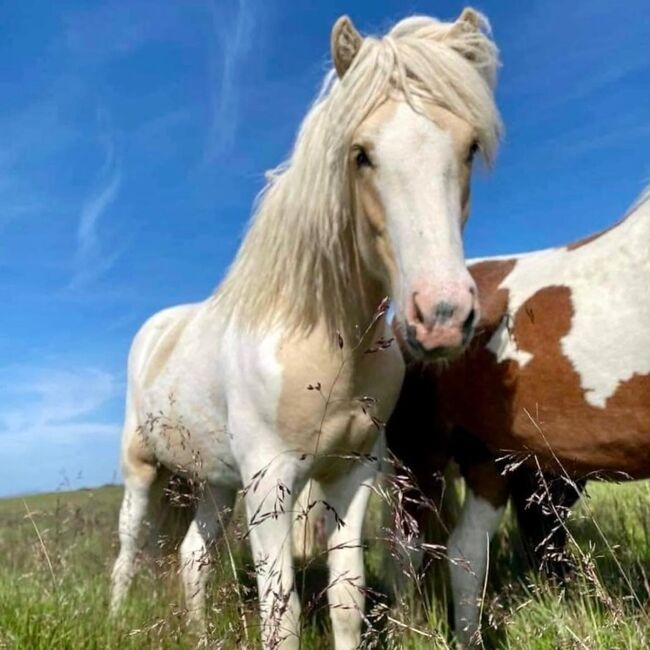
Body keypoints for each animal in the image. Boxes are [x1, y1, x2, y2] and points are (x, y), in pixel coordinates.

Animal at [109, 11, 498, 648]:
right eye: (361, 153)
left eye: (468, 147)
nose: (441, 316)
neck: (320, 339)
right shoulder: (270, 481)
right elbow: (281, 612)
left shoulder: (351, 476)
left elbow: (346, 598)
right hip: (143, 472)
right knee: (126, 554)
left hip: (216, 484)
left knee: (193, 556)